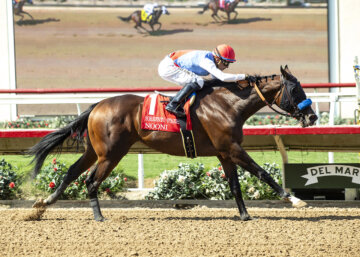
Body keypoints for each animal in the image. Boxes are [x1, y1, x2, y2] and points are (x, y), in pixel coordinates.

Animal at [31, 65, 318, 220]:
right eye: (295, 90)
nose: (313, 116)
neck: (228, 104)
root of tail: (97, 106)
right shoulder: (232, 149)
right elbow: (262, 173)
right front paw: (293, 199)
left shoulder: (224, 153)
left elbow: (235, 186)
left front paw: (245, 215)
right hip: (112, 154)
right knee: (91, 181)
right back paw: (99, 216)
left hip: (96, 151)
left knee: (72, 172)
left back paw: (44, 203)